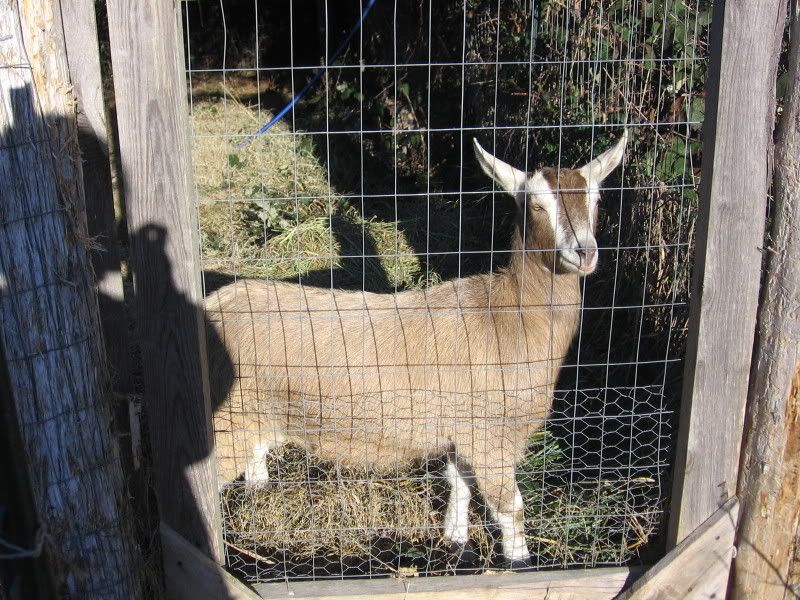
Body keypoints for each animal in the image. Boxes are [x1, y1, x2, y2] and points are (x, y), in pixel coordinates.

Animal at [208, 131, 628, 566]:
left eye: (596, 200)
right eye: (536, 205)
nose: (584, 252)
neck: (508, 313)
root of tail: (213, 304)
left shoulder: (462, 429)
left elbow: (459, 484)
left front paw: (455, 541)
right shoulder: (491, 435)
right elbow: (509, 507)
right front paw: (519, 562)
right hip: (225, 421)